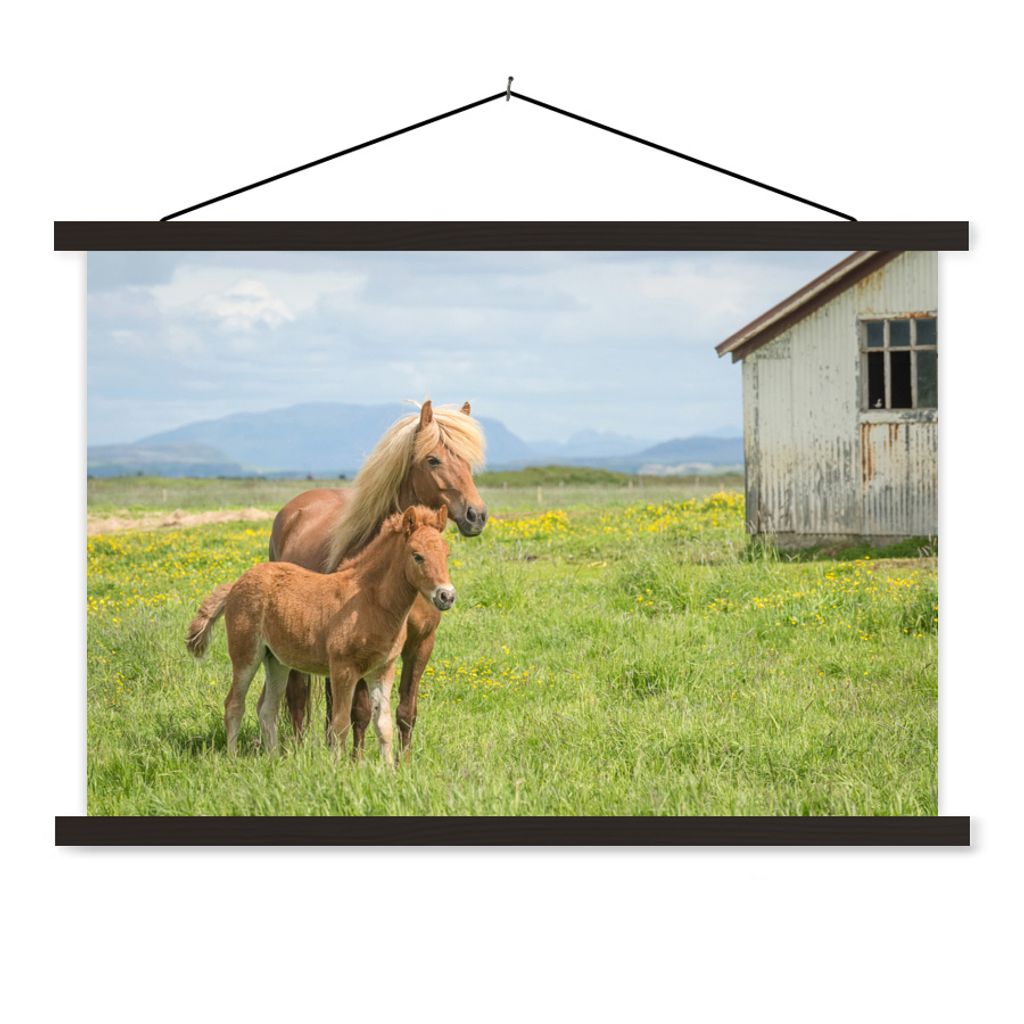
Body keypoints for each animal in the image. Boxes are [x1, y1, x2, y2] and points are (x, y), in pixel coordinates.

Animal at [186, 506, 455, 762]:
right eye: (417, 556)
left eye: (447, 554)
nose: (446, 596)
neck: (369, 600)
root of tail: (236, 584)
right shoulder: (343, 669)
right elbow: (340, 724)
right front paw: (338, 768)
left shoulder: (382, 669)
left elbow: (383, 724)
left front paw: (388, 769)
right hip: (246, 654)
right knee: (234, 704)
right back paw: (233, 759)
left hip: (276, 661)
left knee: (267, 709)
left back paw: (274, 760)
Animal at [266, 400, 487, 759]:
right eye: (433, 459)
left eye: (468, 461)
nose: (476, 516)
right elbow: (359, 711)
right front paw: (356, 762)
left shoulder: (420, 644)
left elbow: (406, 711)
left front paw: (406, 762)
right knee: (298, 695)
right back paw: (299, 751)